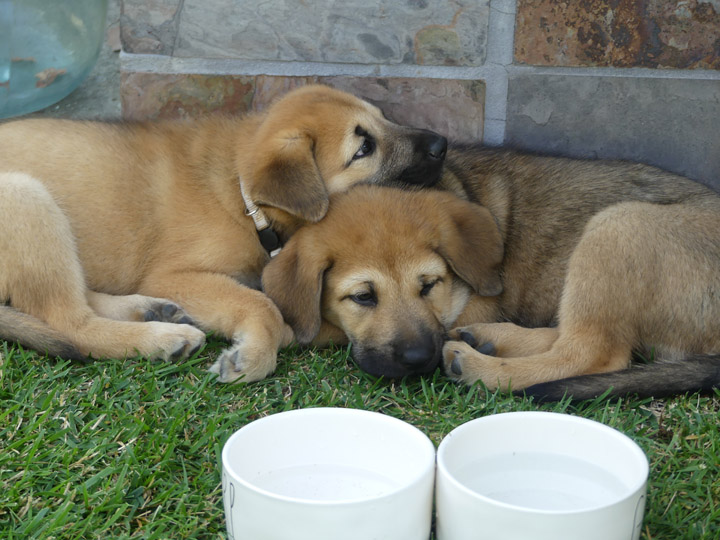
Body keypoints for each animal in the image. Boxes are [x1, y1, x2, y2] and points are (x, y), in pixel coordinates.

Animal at [0, 84, 448, 382]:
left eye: (384, 119)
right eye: (364, 148)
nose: (442, 144)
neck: (240, 193)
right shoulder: (173, 275)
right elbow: (261, 304)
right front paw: (253, 356)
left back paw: (149, 310)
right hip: (25, 194)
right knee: (69, 322)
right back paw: (161, 338)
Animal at [262, 148, 720, 400]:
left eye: (429, 286)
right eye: (363, 297)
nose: (418, 360)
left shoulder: (474, 302)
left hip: (620, 223)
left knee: (594, 353)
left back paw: (479, 366)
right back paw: (491, 339)